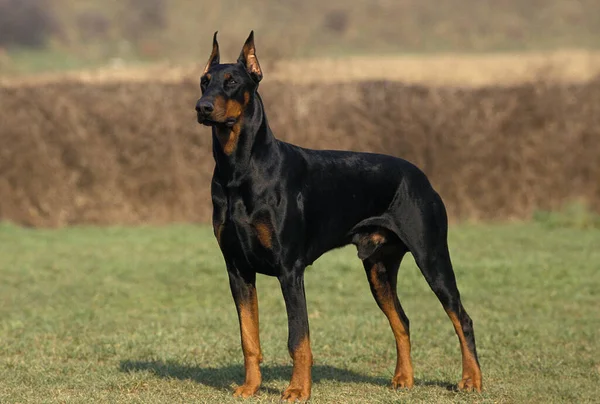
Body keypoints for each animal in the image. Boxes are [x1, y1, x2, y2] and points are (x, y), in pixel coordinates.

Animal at [197, 31, 482, 400]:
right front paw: (249, 387)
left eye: (232, 82)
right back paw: (403, 378)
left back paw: (471, 380)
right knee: (402, 320)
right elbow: (249, 337)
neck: (240, 169)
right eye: (204, 81)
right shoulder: (237, 269)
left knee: (461, 317)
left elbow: (298, 338)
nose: (202, 107)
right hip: (378, 269)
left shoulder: (290, 270)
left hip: (431, 257)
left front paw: (298, 390)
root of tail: (421, 176)